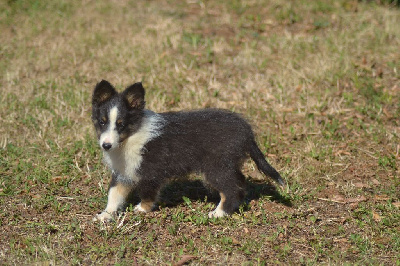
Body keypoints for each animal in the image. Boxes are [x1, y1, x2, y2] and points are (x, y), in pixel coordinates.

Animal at [90, 80, 284, 221]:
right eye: (102, 122)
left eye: (121, 124)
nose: (106, 145)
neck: (130, 137)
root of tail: (246, 131)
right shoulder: (123, 170)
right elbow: (114, 193)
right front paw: (105, 215)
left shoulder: (150, 172)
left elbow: (147, 192)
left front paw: (142, 209)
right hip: (228, 164)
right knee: (240, 182)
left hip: (216, 166)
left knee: (231, 188)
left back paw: (219, 213)